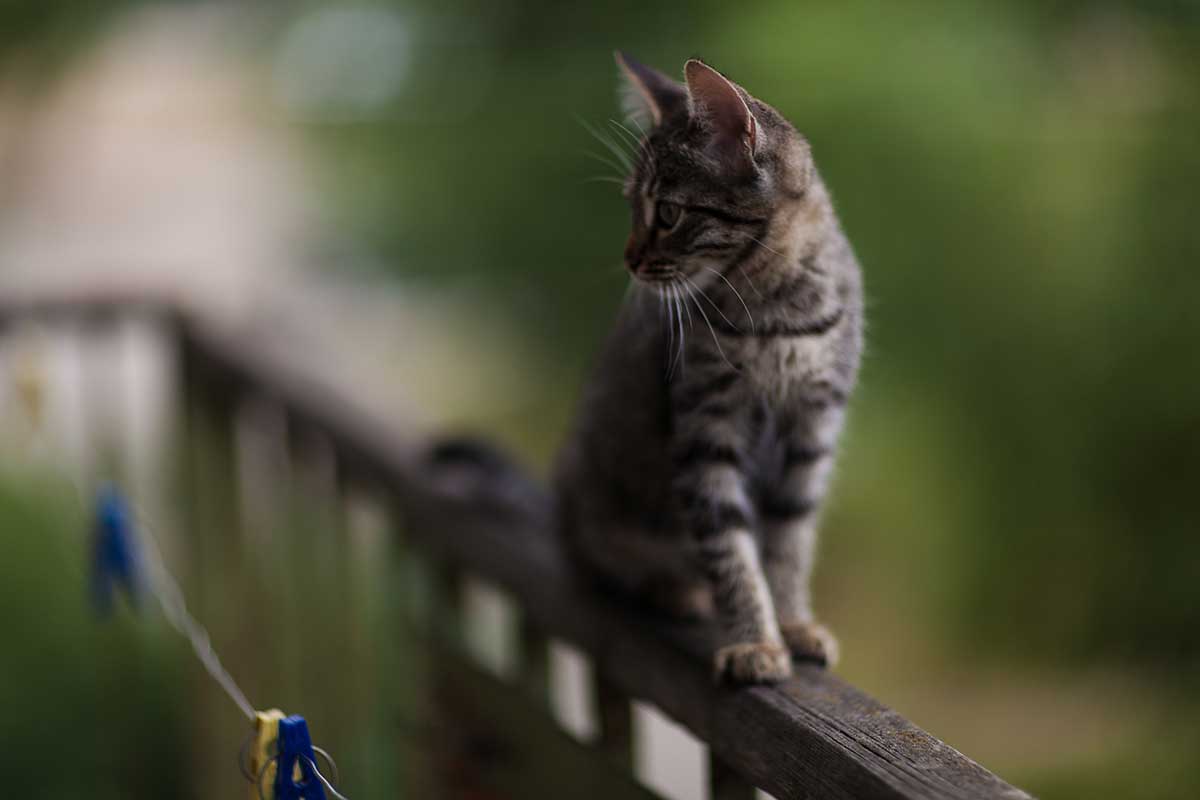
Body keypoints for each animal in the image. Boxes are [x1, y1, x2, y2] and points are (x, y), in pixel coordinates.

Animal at [552, 53, 864, 686]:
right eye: (632, 205)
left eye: (668, 213)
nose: (630, 258)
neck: (777, 313)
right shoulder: (707, 428)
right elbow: (730, 548)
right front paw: (756, 641)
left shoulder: (812, 429)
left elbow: (789, 542)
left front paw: (793, 624)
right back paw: (676, 591)